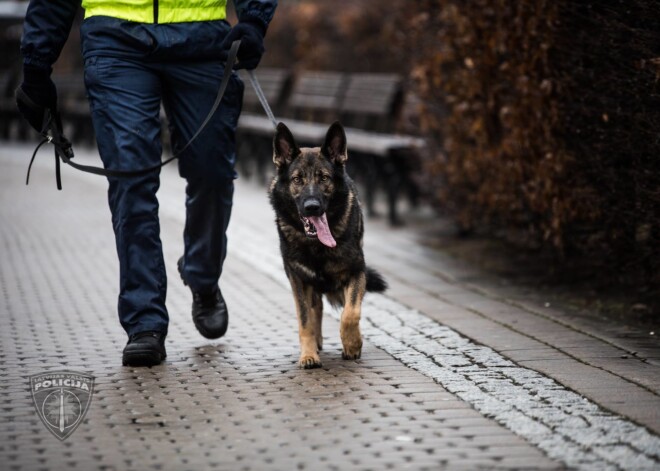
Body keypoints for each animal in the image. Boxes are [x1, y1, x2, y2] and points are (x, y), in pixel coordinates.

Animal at [268, 121, 386, 368]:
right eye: (297, 179)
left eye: (324, 178)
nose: (312, 207)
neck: (316, 245)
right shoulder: (298, 279)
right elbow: (305, 320)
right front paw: (308, 354)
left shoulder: (356, 272)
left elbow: (351, 313)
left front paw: (352, 343)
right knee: (316, 309)